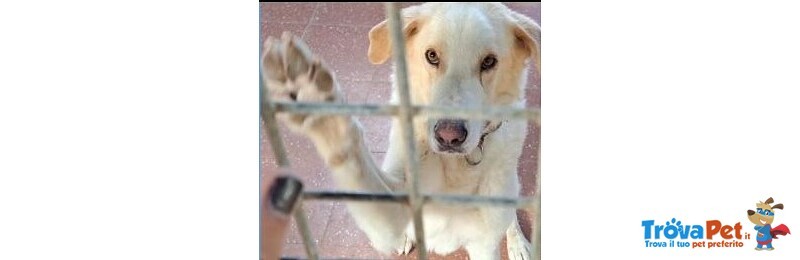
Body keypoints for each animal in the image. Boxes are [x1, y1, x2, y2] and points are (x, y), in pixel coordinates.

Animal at [266, 2, 540, 260]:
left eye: (489, 61)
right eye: (432, 56)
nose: (449, 136)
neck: (455, 167)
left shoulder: (483, 243)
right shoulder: (390, 222)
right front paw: (317, 103)